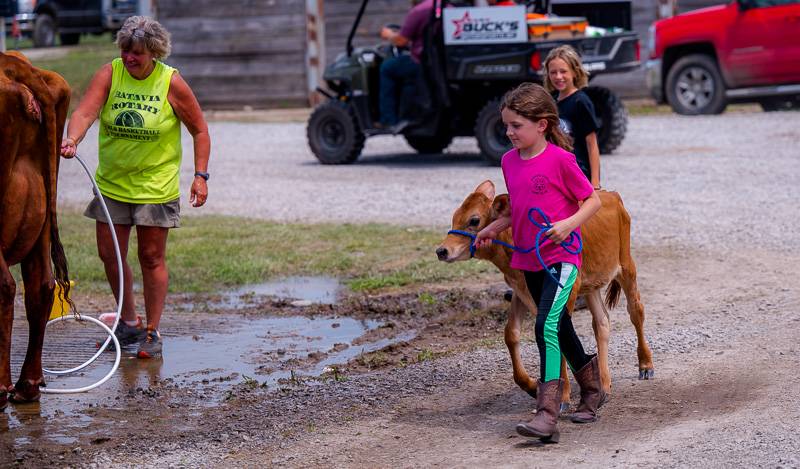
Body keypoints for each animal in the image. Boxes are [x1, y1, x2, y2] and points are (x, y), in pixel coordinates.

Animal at [434, 179, 652, 406]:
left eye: (474, 220)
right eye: (454, 217)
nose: (441, 250)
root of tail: (610, 194)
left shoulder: (567, 290)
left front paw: (562, 396)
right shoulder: (521, 291)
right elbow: (511, 333)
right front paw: (532, 386)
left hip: (626, 266)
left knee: (636, 311)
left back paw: (645, 365)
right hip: (591, 283)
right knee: (601, 322)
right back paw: (604, 382)